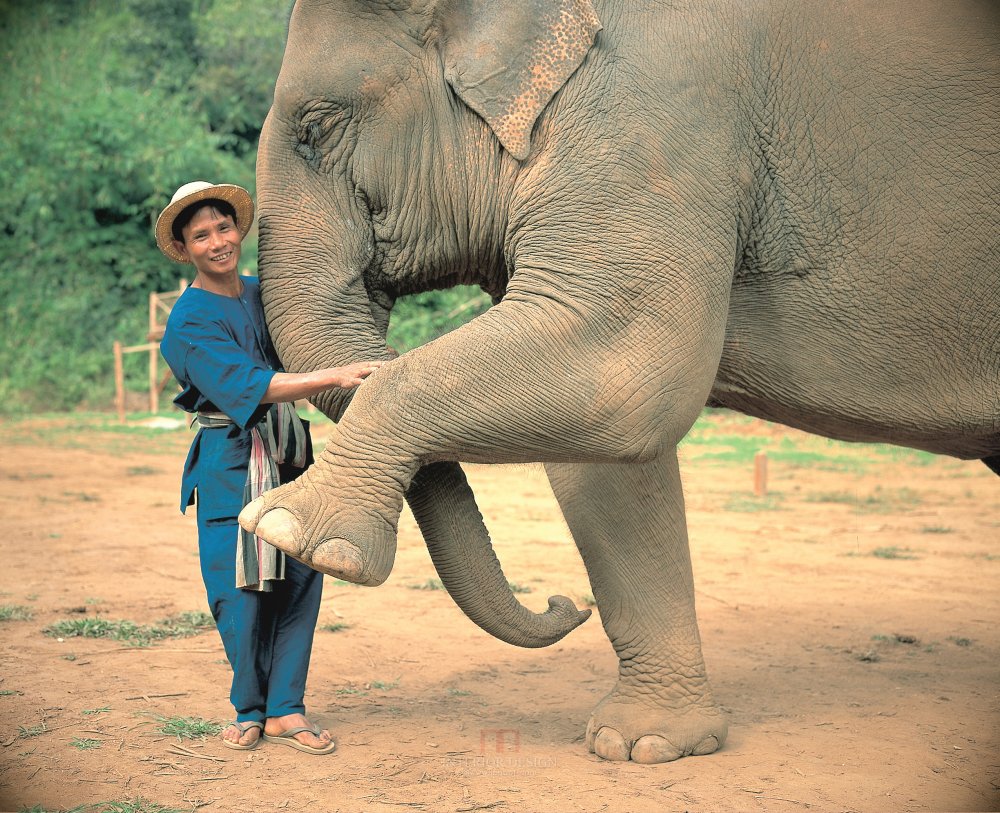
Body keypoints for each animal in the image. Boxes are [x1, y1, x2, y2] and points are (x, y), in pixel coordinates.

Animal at [240, 0, 1000, 760]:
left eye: (317, 127)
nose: (562, 602)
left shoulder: (656, 112)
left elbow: (625, 364)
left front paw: (290, 532)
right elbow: (602, 452)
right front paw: (645, 746)